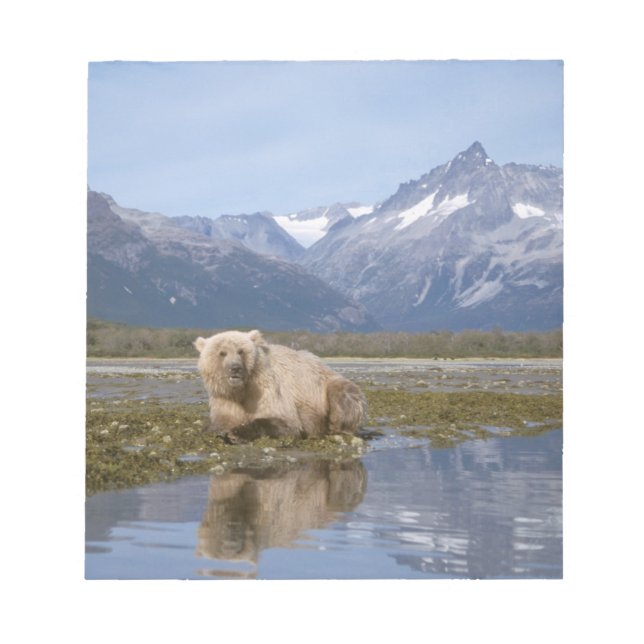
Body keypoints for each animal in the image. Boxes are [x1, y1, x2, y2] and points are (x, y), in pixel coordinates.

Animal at [194, 329, 367, 441]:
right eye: (222, 353)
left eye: (241, 351)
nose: (235, 368)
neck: (242, 389)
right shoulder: (225, 397)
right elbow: (222, 419)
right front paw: (213, 430)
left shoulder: (267, 388)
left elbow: (285, 421)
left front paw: (236, 433)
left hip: (328, 385)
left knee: (343, 396)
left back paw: (335, 427)